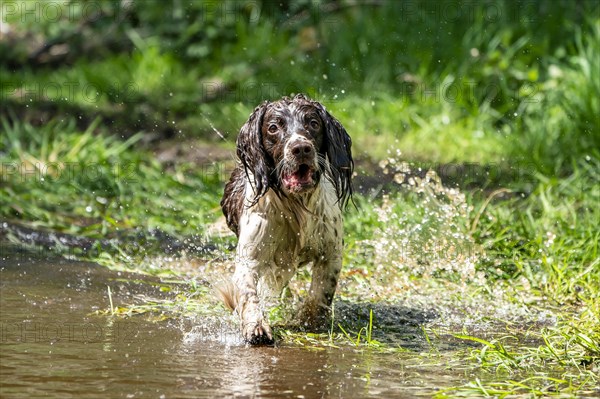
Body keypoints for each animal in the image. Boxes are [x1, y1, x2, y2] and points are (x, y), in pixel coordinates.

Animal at [219, 94, 352, 346]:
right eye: (273, 128)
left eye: (314, 124)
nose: (301, 148)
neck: (296, 206)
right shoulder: (249, 258)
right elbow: (248, 293)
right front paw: (256, 326)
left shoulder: (331, 254)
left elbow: (321, 294)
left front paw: (307, 320)